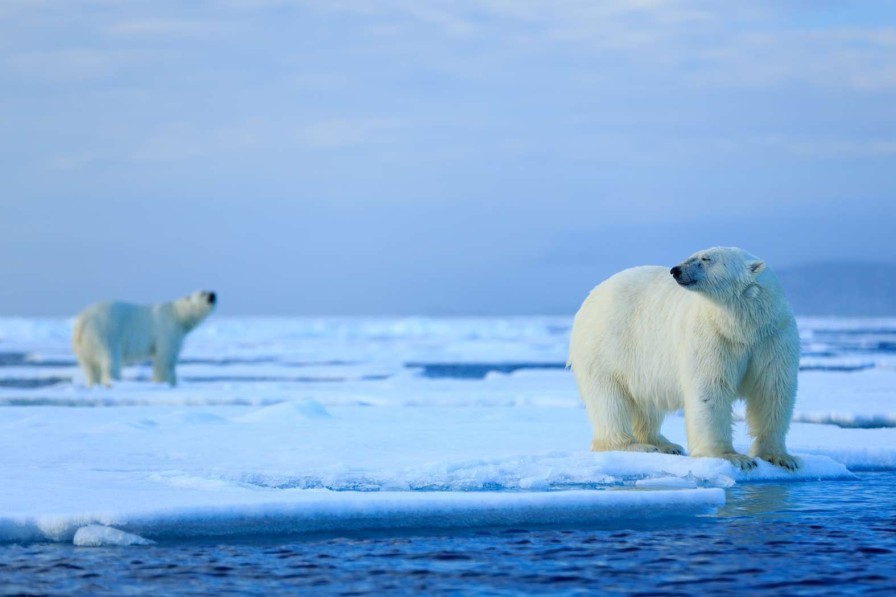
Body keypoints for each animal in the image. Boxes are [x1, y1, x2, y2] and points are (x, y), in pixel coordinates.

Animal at [72, 292, 215, 388]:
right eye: (203, 293)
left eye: (209, 291)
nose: (213, 295)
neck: (177, 315)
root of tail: (81, 323)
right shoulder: (167, 330)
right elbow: (165, 358)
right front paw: (163, 382)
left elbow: (171, 358)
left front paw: (174, 382)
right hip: (105, 333)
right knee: (110, 362)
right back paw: (113, 382)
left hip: (84, 346)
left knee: (89, 366)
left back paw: (93, 384)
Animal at [568, 247, 800, 470]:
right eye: (692, 255)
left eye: (706, 258)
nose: (675, 270)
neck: (742, 327)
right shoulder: (712, 335)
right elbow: (711, 389)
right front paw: (732, 457)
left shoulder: (772, 337)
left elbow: (772, 390)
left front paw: (780, 458)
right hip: (606, 347)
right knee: (609, 400)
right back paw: (634, 445)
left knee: (645, 403)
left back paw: (664, 444)